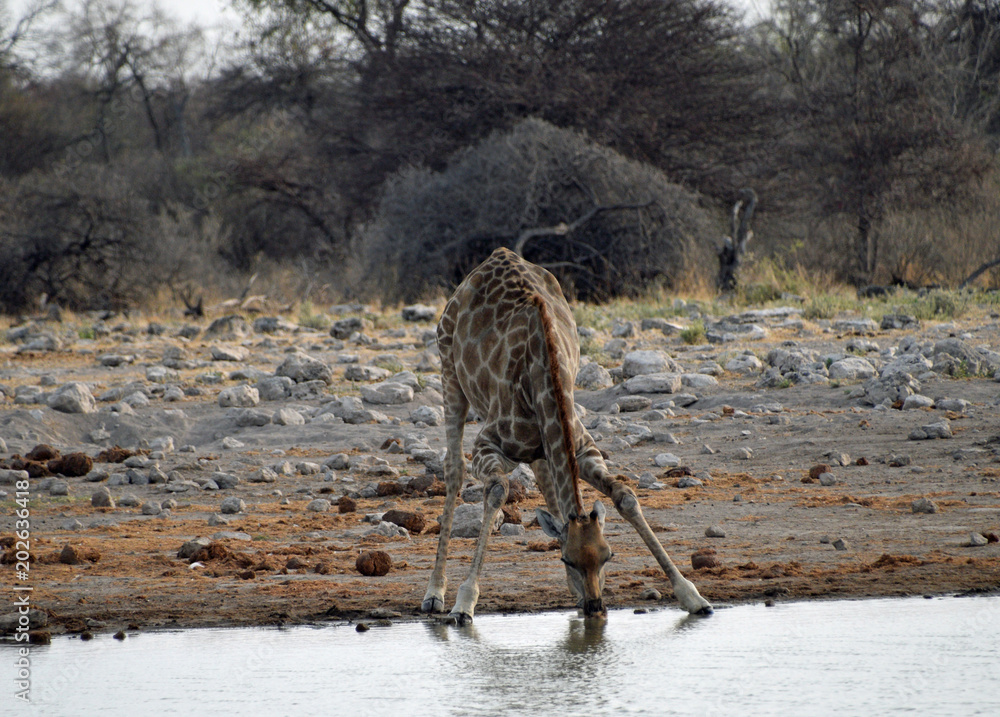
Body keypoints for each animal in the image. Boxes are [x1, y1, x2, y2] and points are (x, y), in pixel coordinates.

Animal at [421, 247, 712, 623]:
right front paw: (465, 602)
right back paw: (434, 593)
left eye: (608, 556)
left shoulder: (582, 448)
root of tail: (494, 255)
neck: (542, 376)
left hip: (540, 444)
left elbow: (625, 496)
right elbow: (498, 491)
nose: (596, 607)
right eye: (567, 560)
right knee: (454, 467)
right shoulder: (487, 445)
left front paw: (692, 596)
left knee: (546, 480)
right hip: (448, 372)